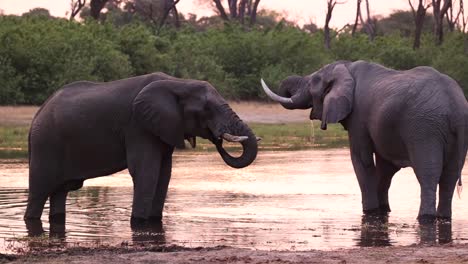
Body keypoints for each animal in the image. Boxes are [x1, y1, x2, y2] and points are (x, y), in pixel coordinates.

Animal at [24, 72, 260, 225]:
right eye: (206, 110)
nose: (218, 138)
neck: (179, 83)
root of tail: (38, 114)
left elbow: (164, 173)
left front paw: (153, 221)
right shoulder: (138, 125)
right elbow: (146, 170)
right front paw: (138, 222)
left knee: (59, 192)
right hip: (45, 143)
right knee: (39, 190)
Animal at [262, 59, 468, 221]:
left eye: (313, 82)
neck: (346, 67)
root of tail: (455, 107)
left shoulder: (358, 116)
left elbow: (362, 160)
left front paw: (370, 212)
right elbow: (385, 168)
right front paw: (383, 210)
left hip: (424, 128)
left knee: (428, 174)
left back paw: (425, 219)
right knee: (449, 176)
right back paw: (443, 217)